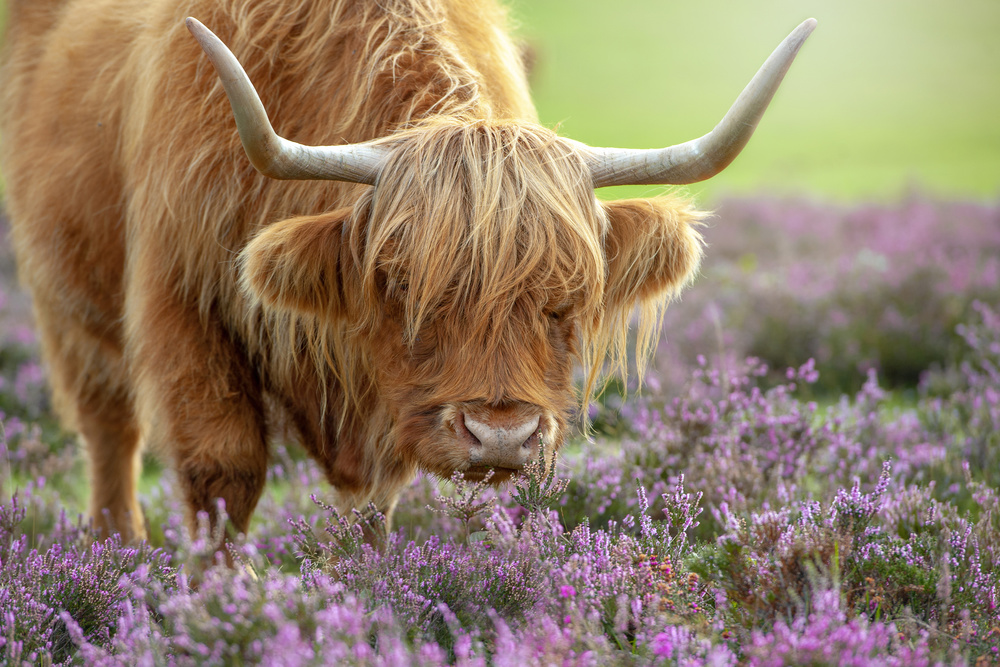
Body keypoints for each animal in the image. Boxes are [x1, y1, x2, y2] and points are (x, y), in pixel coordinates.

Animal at [0, 0, 814, 542]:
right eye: (401, 287)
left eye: (566, 299)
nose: (500, 436)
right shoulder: (182, 305)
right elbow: (221, 472)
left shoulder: (380, 399)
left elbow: (369, 503)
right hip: (63, 299)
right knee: (110, 432)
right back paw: (117, 551)